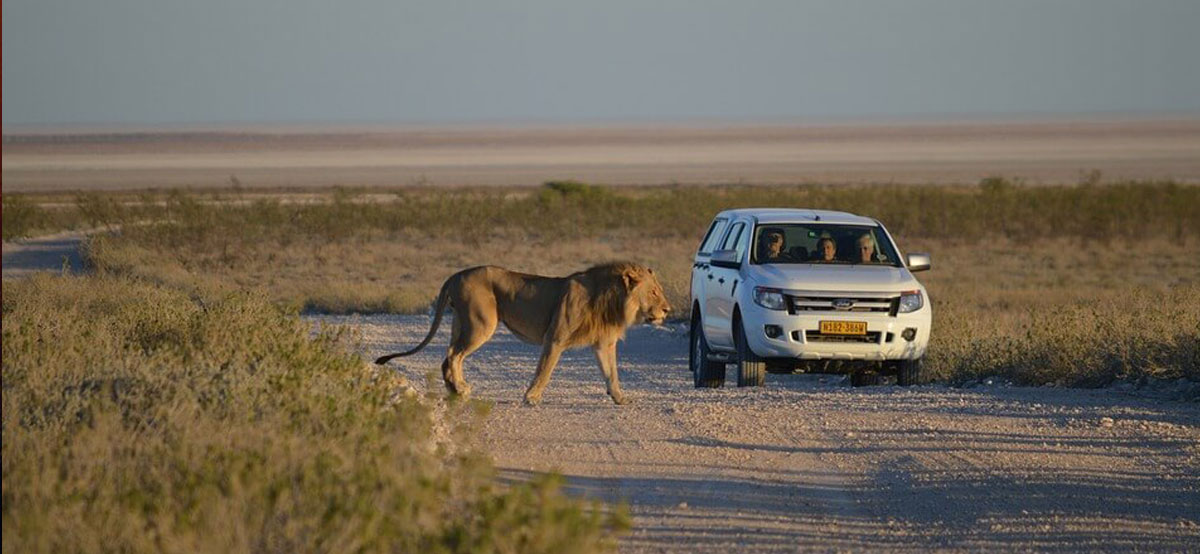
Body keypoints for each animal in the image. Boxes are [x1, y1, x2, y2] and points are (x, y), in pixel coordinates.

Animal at [374, 261, 672, 405]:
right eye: (654, 292)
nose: (668, 310)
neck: (611, 298)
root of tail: (456, 275)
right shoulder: (555, 337)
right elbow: (544, 370)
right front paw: (531, 397)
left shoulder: (604, 344)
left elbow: (612, 374)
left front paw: (620, 399)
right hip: (481, 323)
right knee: (453, 356)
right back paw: (459, 389)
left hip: (462, 322)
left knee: (448, 356)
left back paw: (456, 388)